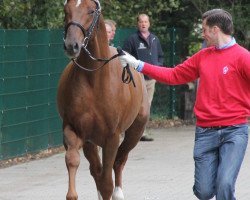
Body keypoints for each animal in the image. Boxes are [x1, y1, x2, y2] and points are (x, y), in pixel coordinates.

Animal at [57, 0, 149, 200]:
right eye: (66, 10)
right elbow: (73, 160)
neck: (94, 80)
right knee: (96, 170)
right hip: (91, 141)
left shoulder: (111, 137)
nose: (71, 45)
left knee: (119, 161)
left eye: (91, 11)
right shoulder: (74, 129)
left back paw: (119, 192)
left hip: (135, 131)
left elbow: (107, 182)